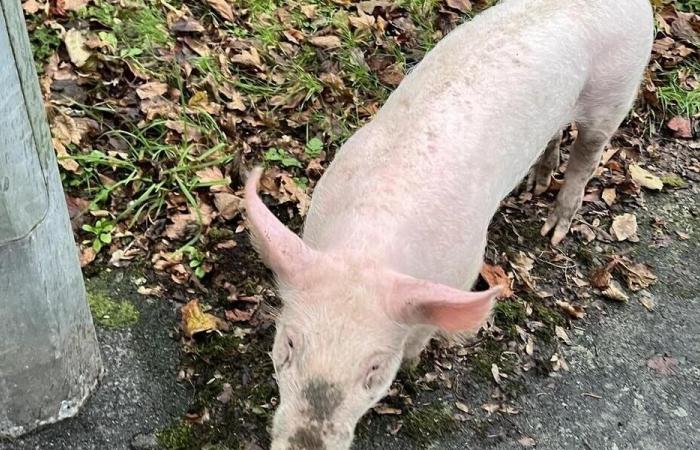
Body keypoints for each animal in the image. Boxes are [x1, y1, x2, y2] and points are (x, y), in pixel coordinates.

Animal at [243, 1, 652, 448]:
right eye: (288, 343)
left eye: (375, 369)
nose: (304, 444)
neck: (368, 246)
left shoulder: (464, 266)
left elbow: (423, 331)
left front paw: (412, 362)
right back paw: (537, 183)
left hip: (617, 86)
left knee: (588, 153)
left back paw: (553, 229)